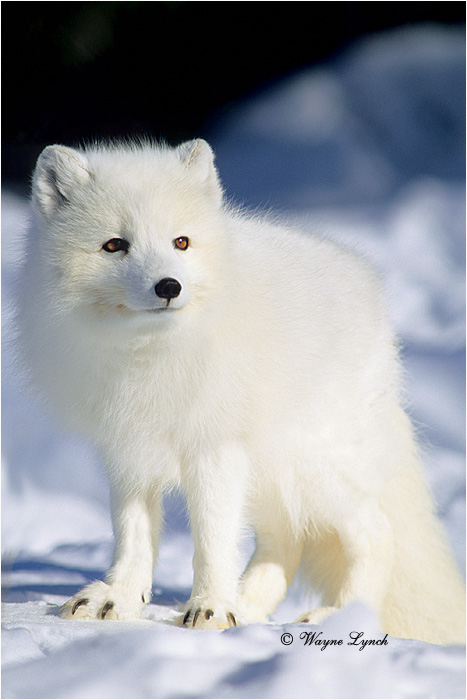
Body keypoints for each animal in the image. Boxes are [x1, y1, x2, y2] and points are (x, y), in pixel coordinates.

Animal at [17, 139, 465, 644]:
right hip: (271, 476)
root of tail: (374, 300)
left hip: (310, 468)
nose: (169, 286)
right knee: (285, 542)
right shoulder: (129, 452)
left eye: (181, 242)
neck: (150, 354)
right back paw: (249, 609)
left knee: (376, 532)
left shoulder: (215, 448)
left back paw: (340, 617)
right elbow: (132, 537)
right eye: (115, 245)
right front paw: (119, 599)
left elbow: (212, 540)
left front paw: (211, 609)